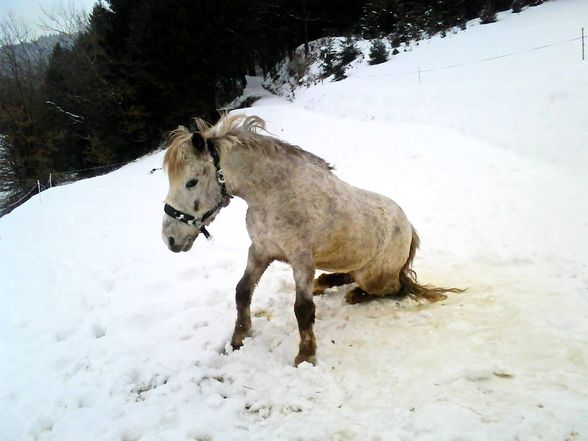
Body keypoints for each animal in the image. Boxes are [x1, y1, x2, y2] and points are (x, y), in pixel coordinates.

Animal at [160, 112, 460, 364]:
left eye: (191, 182)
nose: (170, 239)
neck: (273, 194)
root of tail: (409, 227)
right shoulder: (260, 251)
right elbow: (242, 292)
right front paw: (238, 339)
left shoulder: (301, 259)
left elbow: (303, 309)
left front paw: (305, 356)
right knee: (350, 275)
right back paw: (324, 282)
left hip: (374, 277)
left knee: (391, 288)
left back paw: (354, 294)